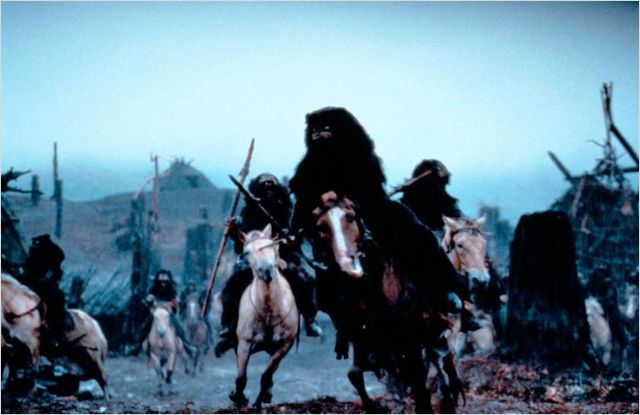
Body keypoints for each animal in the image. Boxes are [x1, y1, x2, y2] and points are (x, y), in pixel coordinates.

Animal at [229, 224, 299, 410]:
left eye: (271, 245)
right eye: (247, 252)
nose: (267, 271)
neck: (269, 311)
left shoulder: (284, 345)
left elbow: (267, 374)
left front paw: (259, 401)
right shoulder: (244, 343)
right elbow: (241, 377)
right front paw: (238, 398)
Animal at [312, 191, 461, 413]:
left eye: (351, 217)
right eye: (321, 226)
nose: (347, 268)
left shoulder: (411, 338)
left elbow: (419, 379)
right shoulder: (362, 337)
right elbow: (354, 374)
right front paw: (376, 407)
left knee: (439, 356)